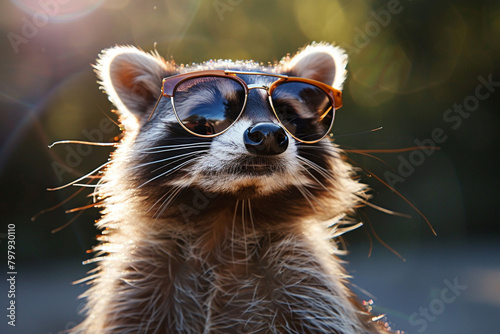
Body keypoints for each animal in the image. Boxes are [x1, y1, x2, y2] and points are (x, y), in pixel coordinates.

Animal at [68, 43, 392, 332]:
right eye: (211, 115)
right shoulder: (136, 290)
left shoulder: (308, 289)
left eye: (287, 114)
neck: (228, 213)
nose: (268, 136)